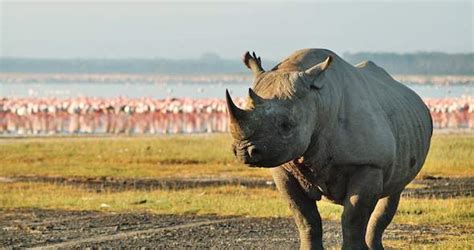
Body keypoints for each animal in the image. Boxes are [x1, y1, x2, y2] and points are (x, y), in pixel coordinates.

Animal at [226, 48, 434, 250]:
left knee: (393, 193)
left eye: (286, 126)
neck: (318, 101)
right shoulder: (283, 166)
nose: (244, 151)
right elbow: (305, 216)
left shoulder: (370, 164)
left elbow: (353, 218)